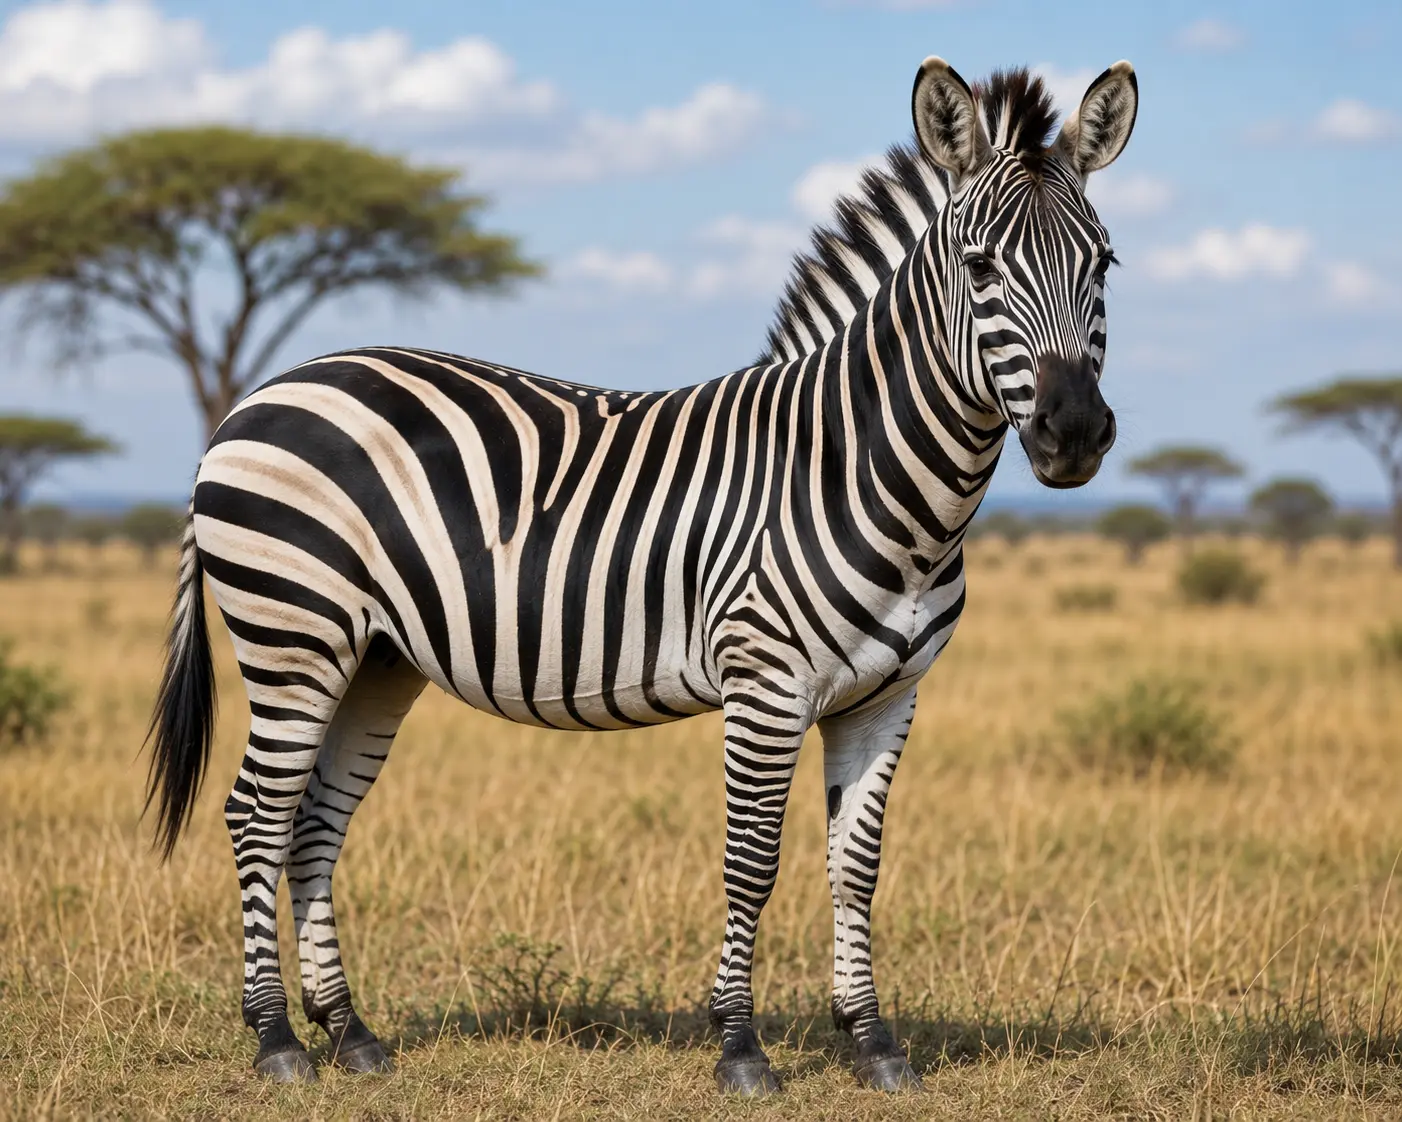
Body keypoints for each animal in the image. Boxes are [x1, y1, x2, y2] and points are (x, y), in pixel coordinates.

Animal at [146, 57, 1137, 1095]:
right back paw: (277, 1040)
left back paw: (350, 1032)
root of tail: (256, 397)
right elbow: (753, 860)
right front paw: (740, 1046)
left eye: (1104, 265)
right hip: (293, 632)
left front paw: (873, 1041)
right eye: (980, 268)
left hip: (375, 659)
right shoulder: (765, 681)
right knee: (257, 815)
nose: (1073, 433)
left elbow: (855, 866)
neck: (863, 474)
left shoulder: (888, 697)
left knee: (314, 824)